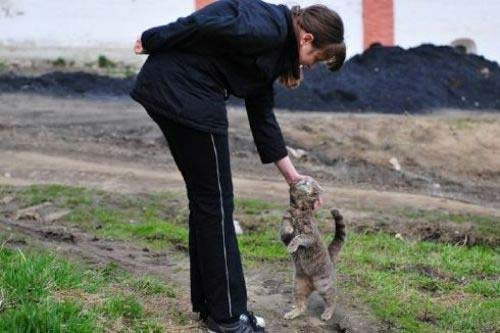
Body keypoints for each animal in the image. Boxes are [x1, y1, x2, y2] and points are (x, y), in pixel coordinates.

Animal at [280, 178, 346, 320]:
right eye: (302, 180)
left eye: (311, 182)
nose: (305, 180)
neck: (300, 208)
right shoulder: (284, 231)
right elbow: (286, 227)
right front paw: (290, 229)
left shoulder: (311, 236)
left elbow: (299, 237)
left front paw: (293, 245)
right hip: (298, 286)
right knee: (302, 306)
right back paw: (292, 313)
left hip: (324, 285)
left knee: (333, 299)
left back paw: (327, 314)